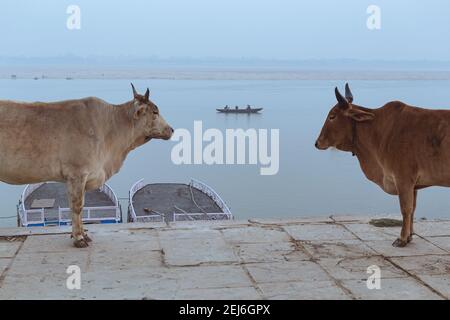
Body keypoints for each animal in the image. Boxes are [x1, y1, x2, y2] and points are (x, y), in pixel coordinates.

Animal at [0, 84, 173, 248]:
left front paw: (84, 234)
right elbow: (76, 206)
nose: (171, 129)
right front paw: (79, 238)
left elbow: (82, 206)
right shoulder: (77, 173)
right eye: (155, 111)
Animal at [314, 83, 450, 248]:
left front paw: (402, 239)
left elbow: (406, 209)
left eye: (332, 116)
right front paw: (409, 236)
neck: (378, 131)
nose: (317, 143)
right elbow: (413, 209)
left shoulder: (404, 179)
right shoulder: (414, 185)